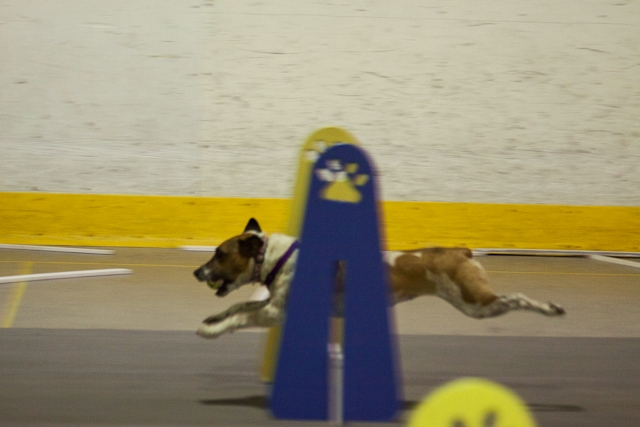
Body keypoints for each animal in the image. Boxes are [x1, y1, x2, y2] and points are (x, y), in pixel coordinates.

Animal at [192, 219, 564, 340]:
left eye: (219, 254)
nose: (197, 273)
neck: (278, 257)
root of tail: (461, 251)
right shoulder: (273, 303)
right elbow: (239, 306)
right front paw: (214, 318)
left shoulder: (276, 313)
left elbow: (242, 317)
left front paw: (212, 330)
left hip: (475, 303)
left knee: (516, 298)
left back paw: (551, 309)